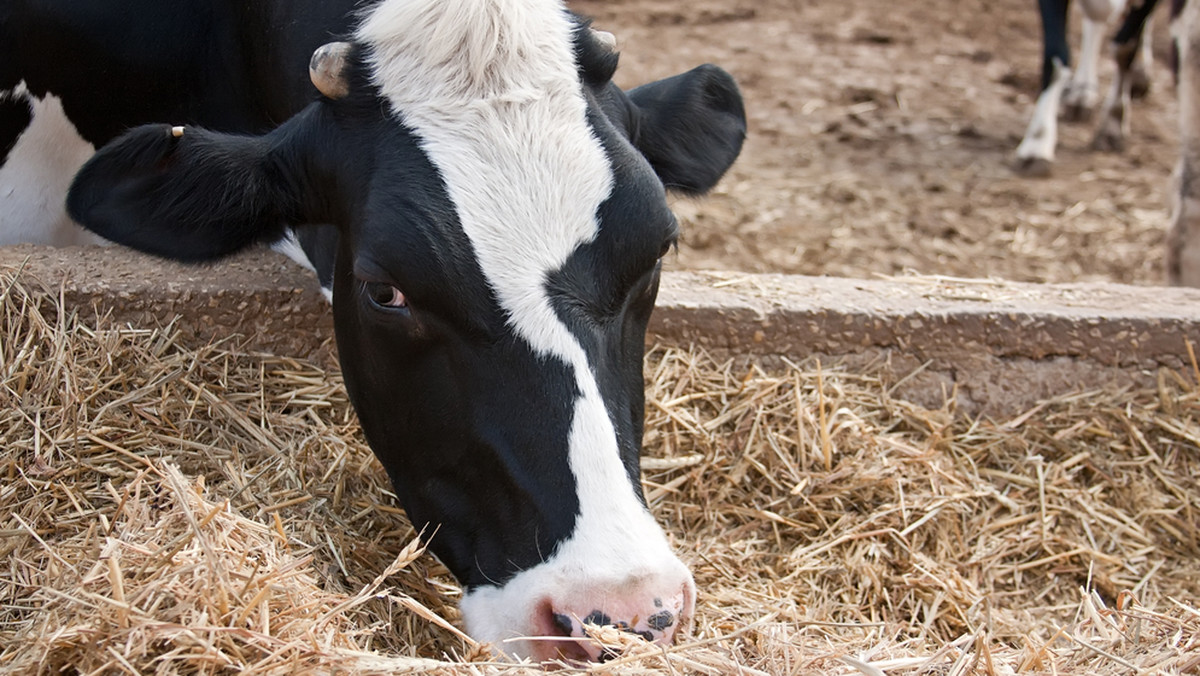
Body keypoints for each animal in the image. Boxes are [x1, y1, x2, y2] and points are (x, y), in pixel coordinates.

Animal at [1017, 0, 1156, 174]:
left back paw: (1140, 70)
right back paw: (1081, 93)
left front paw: (1113, 122)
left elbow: (1125, 49)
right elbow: (1055, 56)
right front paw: (1038, 142)